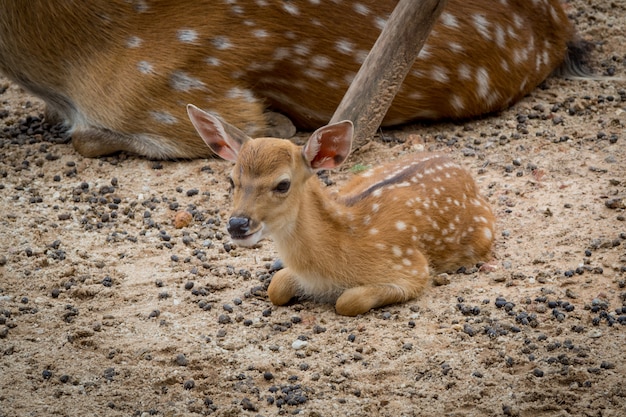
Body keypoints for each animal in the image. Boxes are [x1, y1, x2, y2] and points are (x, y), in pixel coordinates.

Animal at [185, 104, 492, 316]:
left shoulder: (412, 267)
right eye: (231, 180)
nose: (237, 224)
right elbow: (276, 287)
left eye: (283, 184)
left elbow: (348, 301)